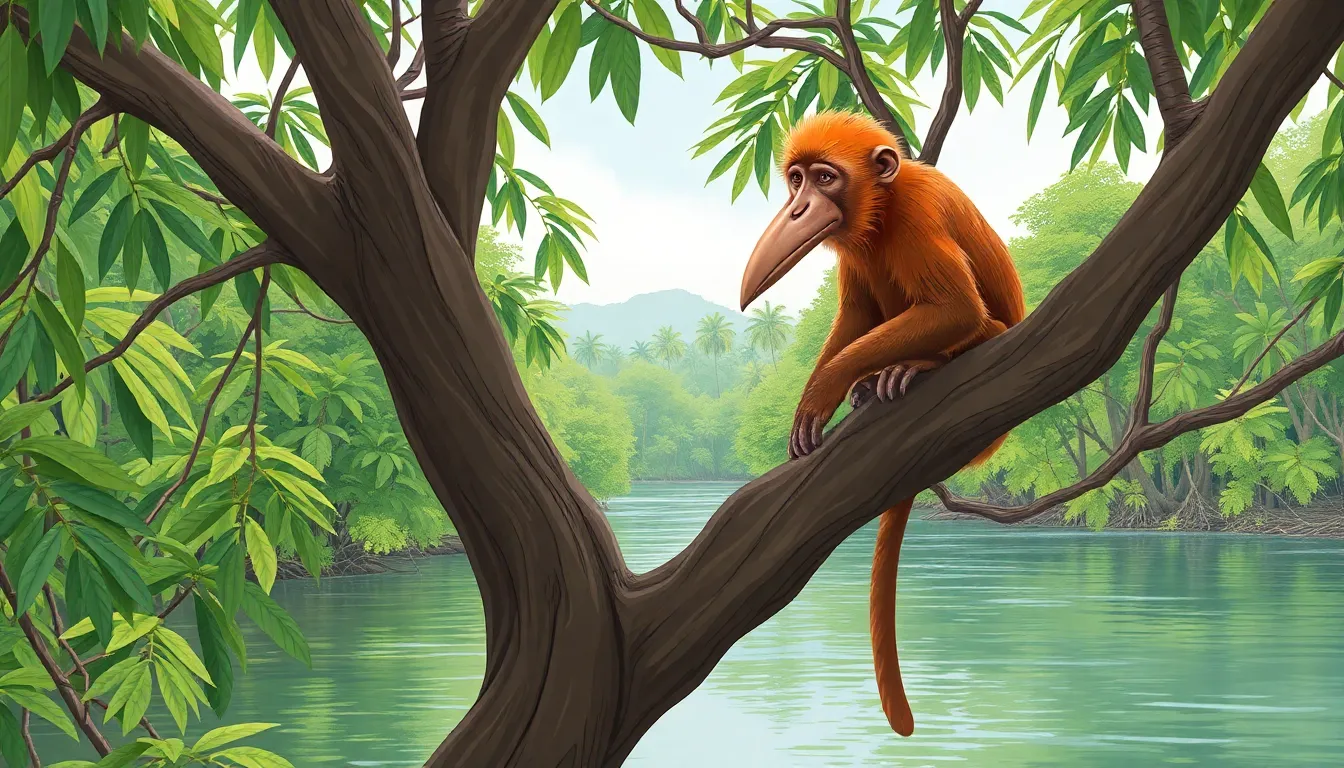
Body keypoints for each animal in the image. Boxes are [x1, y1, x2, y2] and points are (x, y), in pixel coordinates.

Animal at [739, 110, 1025, 737]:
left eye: (825, 177)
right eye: (795, 179)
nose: (797, 208)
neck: (883, 204)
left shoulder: (915, 217)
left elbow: (955, 309)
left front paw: (825, 388)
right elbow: (856, 314)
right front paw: (822, 395)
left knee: (973, 323)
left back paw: (918, 367)